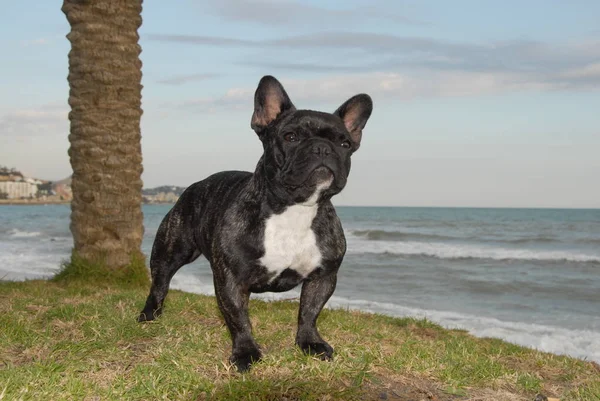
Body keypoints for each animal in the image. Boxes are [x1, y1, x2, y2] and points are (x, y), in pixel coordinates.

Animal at [139, 76, 372, 372]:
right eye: (291, 137)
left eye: (344, 144)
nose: (322, 148)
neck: (294, 209)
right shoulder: (231, 278)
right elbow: (238, 318)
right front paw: (245, 353)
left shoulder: (323, 276)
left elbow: (309, 312)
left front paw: (309, 343)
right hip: (171, 250)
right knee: (160, 283)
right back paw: (149, 315)